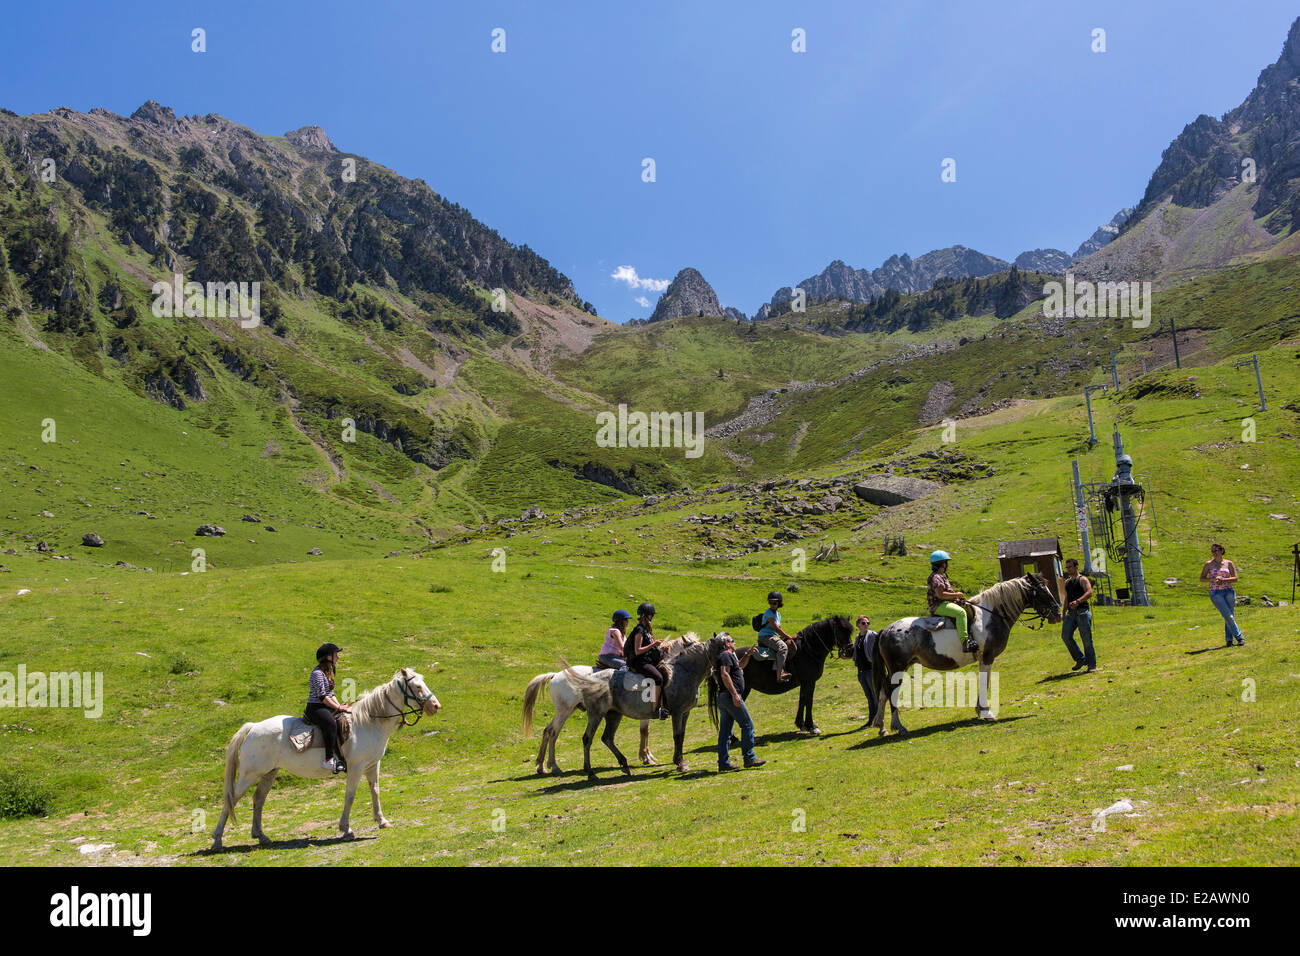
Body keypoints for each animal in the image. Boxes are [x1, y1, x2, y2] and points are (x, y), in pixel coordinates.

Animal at [210, 665, 439, 853]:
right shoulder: (356, 767)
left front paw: (382, 821)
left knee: (259, 800)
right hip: (250, 774)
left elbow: (375, 791)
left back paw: (261, 837)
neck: (368, 722)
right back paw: (217, 841)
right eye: (417, 686)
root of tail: (253, 727)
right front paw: (346, 829)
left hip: (269, 773)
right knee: (231, 799)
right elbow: (350, 795)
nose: (435, 706)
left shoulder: (373, 765)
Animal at [522, 671, 655, 775]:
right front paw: (647, 757)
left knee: (548, 730)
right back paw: (554, 766)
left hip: (566, 711)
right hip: (565, 711)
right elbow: (644, 731)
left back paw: (541, 765)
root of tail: (555, 675)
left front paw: (646, 756)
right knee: (553, 733)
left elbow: (645, 731)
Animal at [564, 634, 728, 780]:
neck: (684, 672)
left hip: (614, 714)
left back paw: (624, 764)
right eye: (724, 646)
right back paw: (590, 772)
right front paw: (679, 763)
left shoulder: (685, 712)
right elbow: (676, 736)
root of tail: (589, 679)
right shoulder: (677, 711)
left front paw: (680, 760)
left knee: (607, 738)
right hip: (596, 714)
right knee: (587, 739)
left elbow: (681, 736)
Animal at [717, 616, 857, 738]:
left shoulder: (804, 683)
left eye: (850, 631)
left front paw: (801, 724)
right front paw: (812, 726)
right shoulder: (810, 681)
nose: (851, 651)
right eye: (841, 631)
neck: (808, 650)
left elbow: (802, 700)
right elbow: (809, 701)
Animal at [868, 572, 1060, 738]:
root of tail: (885, 630)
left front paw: (980, 710)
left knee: (883, 692)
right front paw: (986, 712)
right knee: (890, 691)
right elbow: (984, 682)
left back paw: (882, 727)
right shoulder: (988, 655)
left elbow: (985, 681)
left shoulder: (984, 658)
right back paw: (898, 726)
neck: (991, 615)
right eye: (1042, 591)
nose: (1058, 613)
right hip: (898, 668)